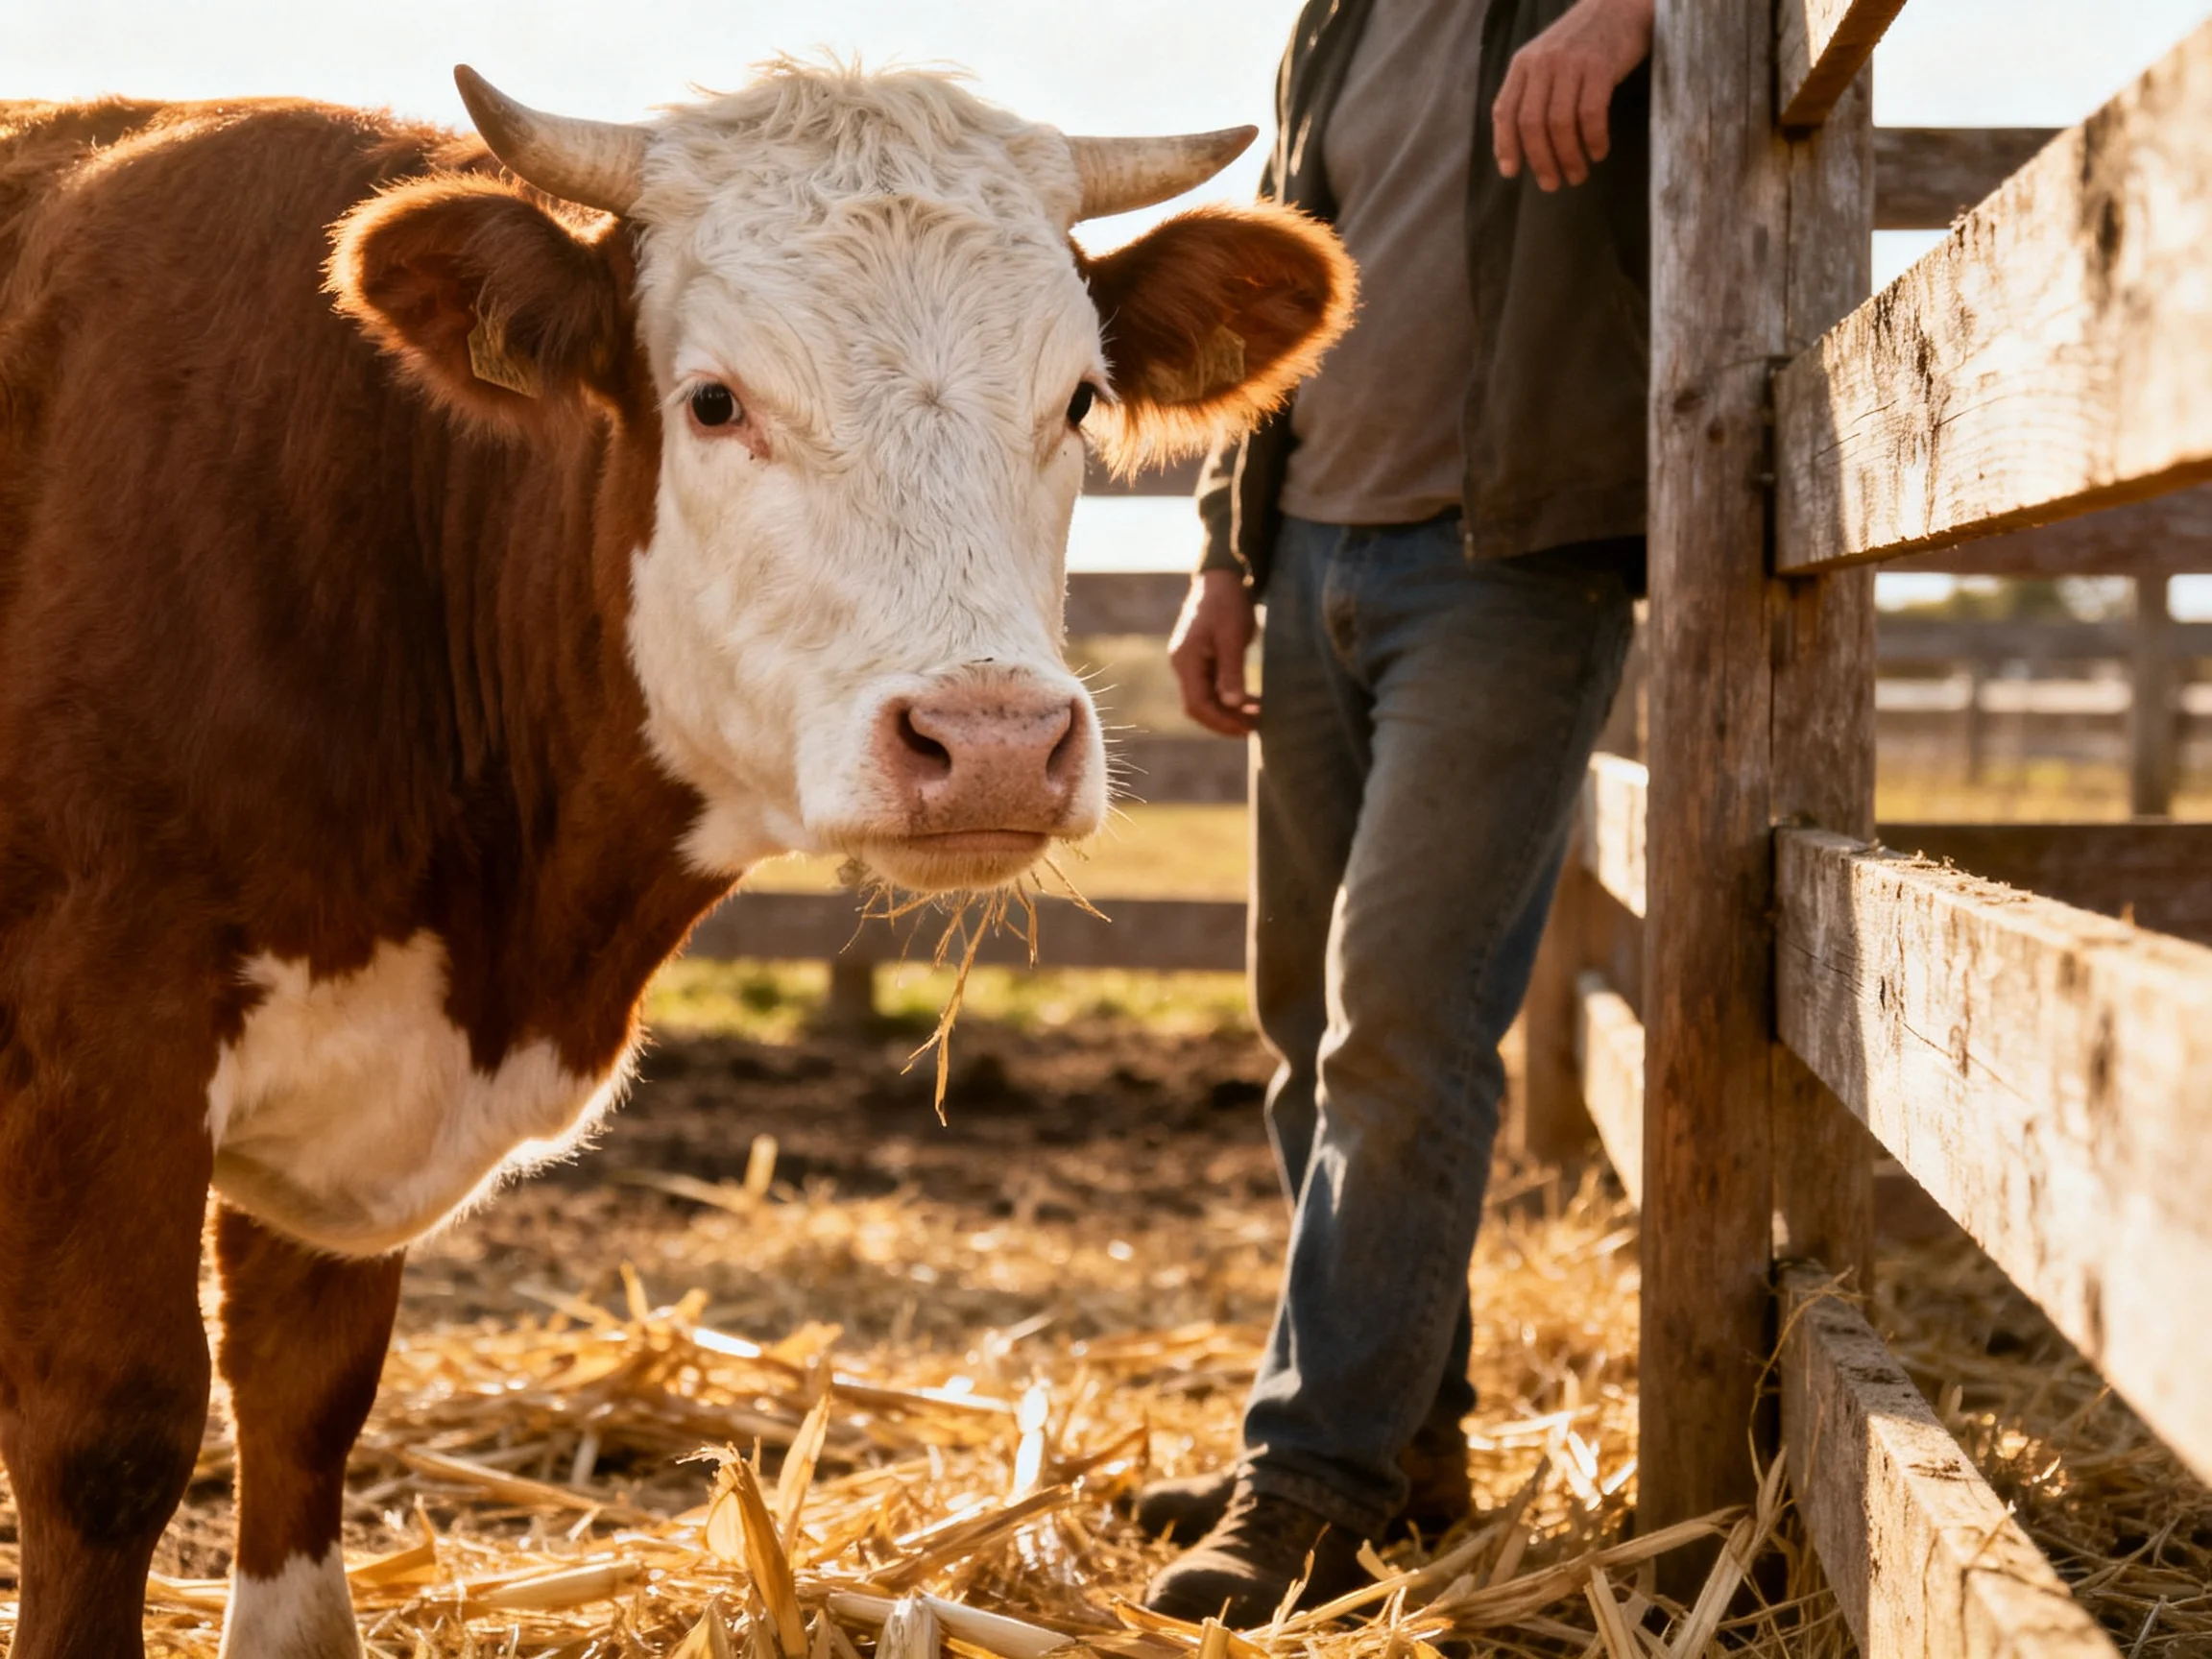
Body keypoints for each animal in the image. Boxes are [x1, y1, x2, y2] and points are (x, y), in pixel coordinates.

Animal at [0, 61, 1351, 1657]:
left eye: (1077, 396)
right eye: (715, 400)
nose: (994, 740)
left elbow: (308, 1401)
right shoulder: (106, 1044)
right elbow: (112, 1435)